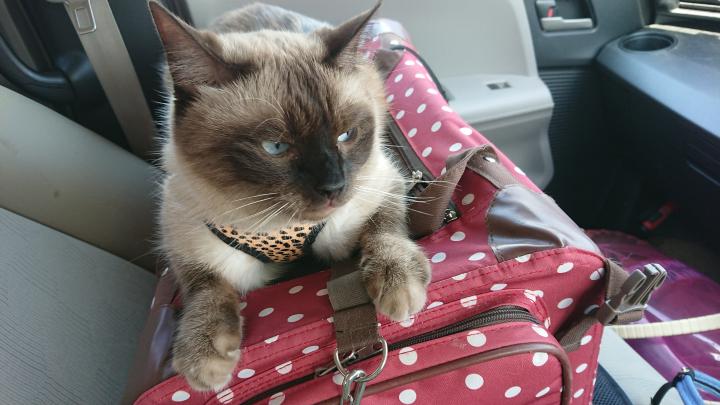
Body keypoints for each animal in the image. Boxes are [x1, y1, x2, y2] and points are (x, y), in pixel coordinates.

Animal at [149, 1, 431, 391]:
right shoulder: (182, 234)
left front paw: (399, 289)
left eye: (346, 135)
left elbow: (385, 230)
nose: (334, 187)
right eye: (275, 147)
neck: (274, 225)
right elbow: (204, 288)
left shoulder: (380, 184)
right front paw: (204, 360)